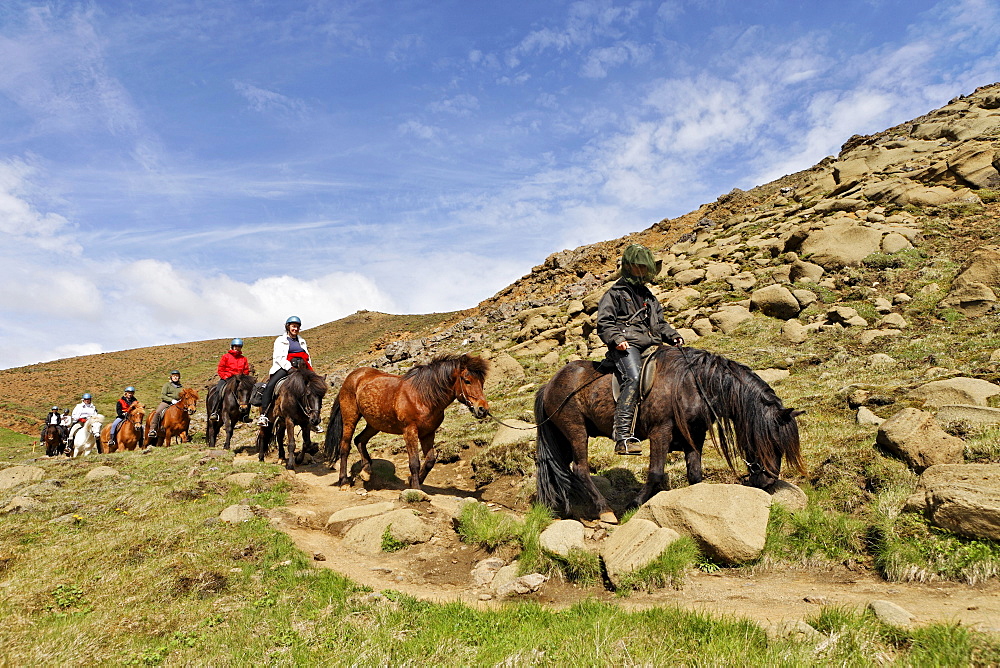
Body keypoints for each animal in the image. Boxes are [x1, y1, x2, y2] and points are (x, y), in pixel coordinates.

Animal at [324, 354, 488, 490]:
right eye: (467, 381)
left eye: (482, 382)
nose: (483, 409)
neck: (422, 396)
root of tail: (351, 377)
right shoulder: (410, 431)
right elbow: (414, 462)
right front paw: (415, 489)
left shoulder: (428, 433)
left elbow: (430, 461)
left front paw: (414, 481)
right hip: (350, 419)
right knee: (345, 447)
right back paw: (344, 481)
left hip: (375, 424)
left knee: (359, 440)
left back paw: (366, 471)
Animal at [536, 348, 808, 524]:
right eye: (771, 441)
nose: (768, 481)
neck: (693, 383)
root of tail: (549, 384)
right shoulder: (661, 432)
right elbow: (656, 473)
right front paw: (635, 504)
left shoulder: (694, 436)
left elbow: (695, 475)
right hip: (576, 430)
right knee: (581, 470)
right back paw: (605, 511)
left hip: (563, 437)